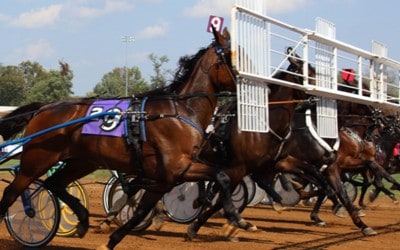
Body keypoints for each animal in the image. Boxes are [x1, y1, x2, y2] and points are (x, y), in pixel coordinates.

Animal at [0, 26, 250, 249]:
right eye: (235, 57)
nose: (254, 82)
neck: (181, 111)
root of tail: (44, 108)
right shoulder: (178, 168)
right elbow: (222, 176)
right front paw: (238, 218)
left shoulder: (164, 179)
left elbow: (140, 212)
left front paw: (110, 241)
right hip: (35, 161)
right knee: (11, 193)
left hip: (83, 162)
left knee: (54, 183)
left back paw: (83, 221)